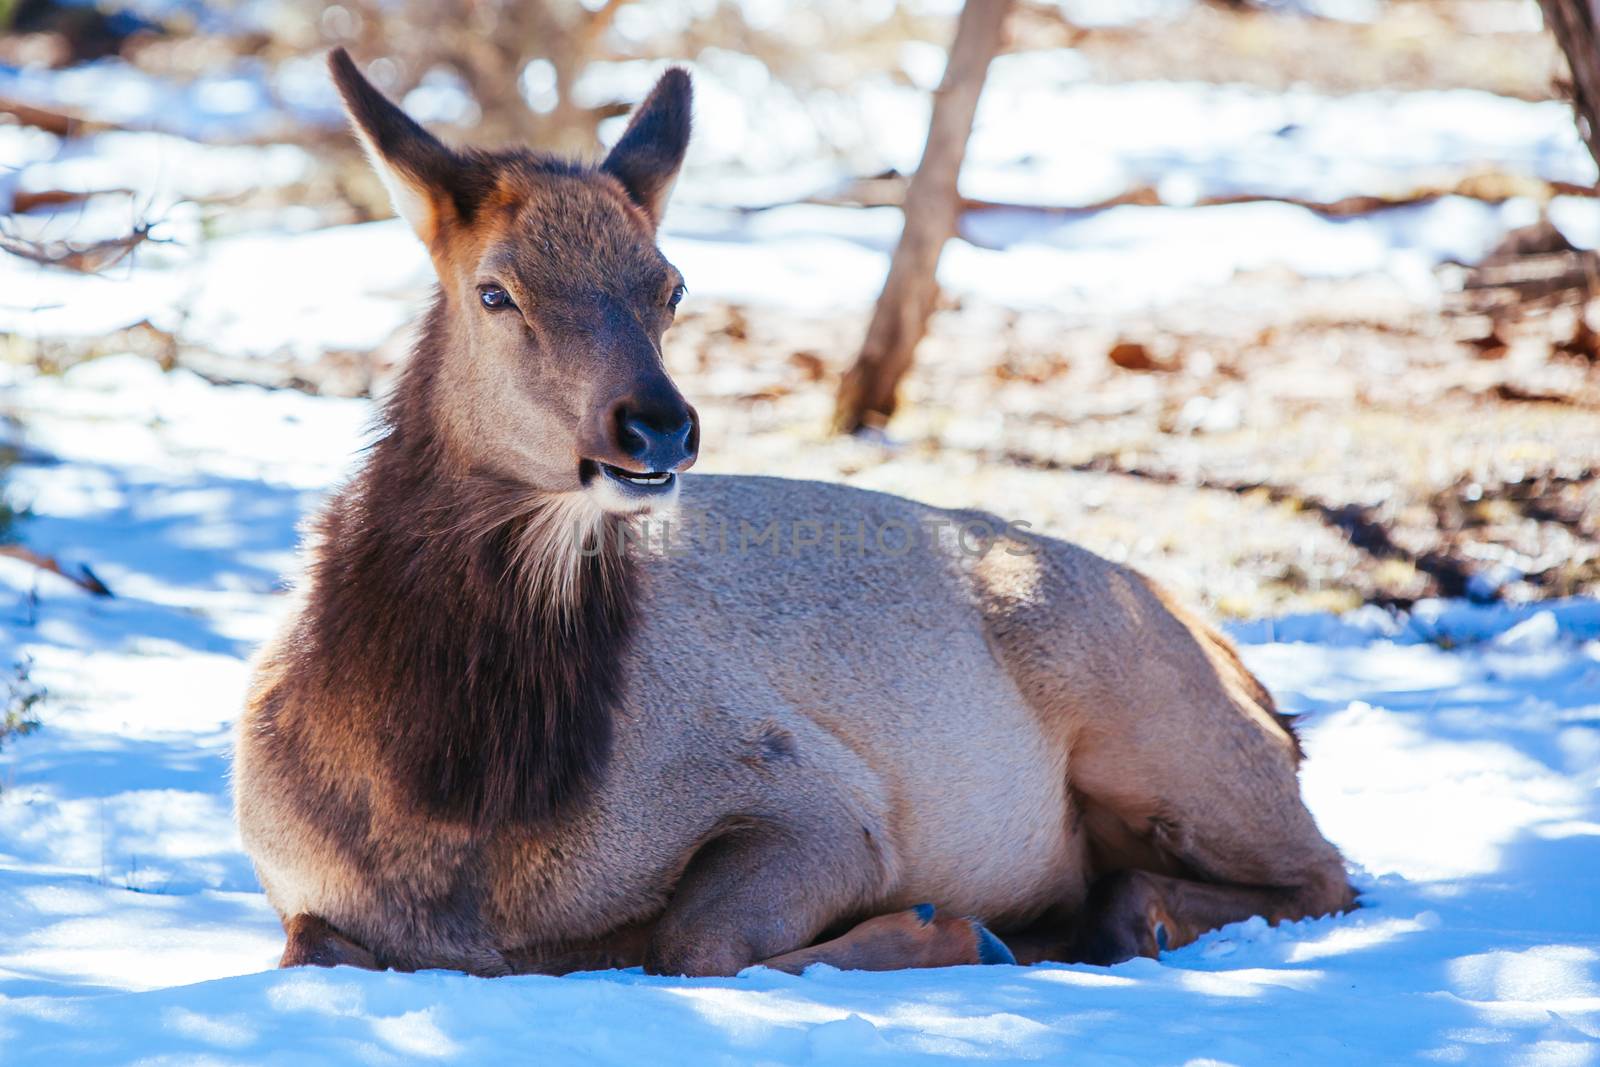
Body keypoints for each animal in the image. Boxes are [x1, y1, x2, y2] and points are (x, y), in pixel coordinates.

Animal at [232, 49, 1356, 979]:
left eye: (671, 285)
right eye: (495, 291)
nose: (657, 425)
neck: (456, 811)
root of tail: (1257, 686)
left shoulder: (820, 795)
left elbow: (696, 939)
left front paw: (943, 928)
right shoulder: (302, 894)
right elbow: (310, 943)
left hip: (1163, 737)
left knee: (1324, 873)